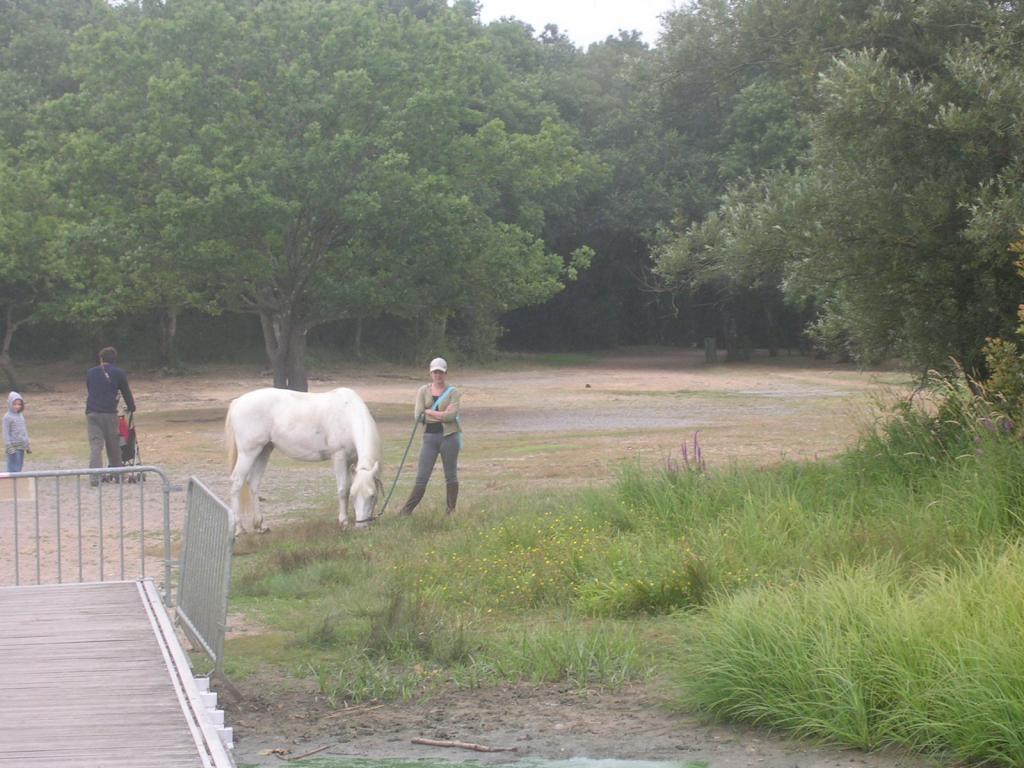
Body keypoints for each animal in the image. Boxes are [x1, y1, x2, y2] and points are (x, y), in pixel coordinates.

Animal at [225, 391, 385, 536]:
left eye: (372, 495)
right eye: (354, 496)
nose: (361, 527)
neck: (347, 414)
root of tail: (238, 401)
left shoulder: (352, 460)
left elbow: (348, 486)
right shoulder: (339, 457)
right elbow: (342, 490)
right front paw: (343, 521)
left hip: (264, 450)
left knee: (253, 483)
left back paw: (260, 526)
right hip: (248, 453)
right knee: (237, 483)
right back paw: (240, 529)